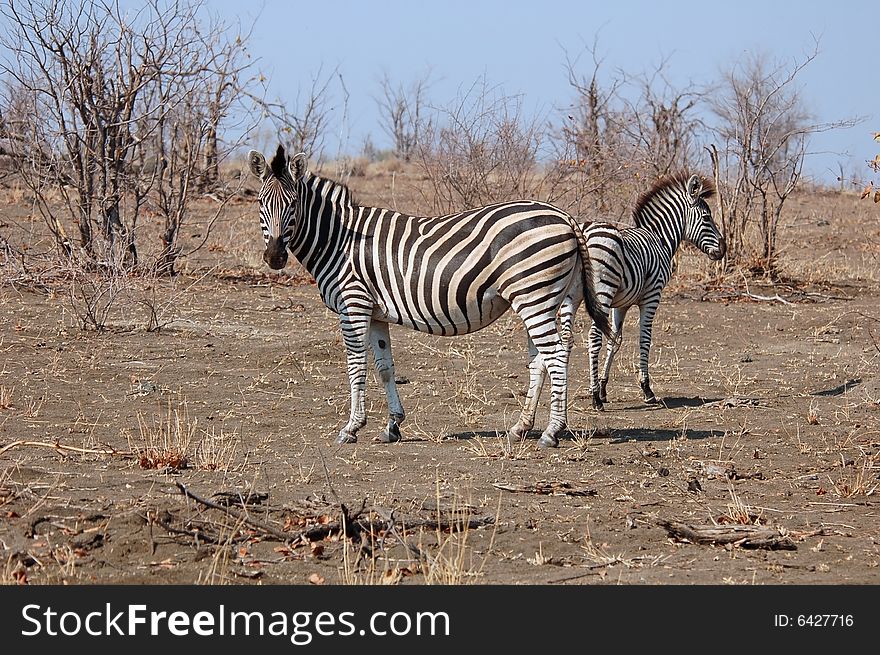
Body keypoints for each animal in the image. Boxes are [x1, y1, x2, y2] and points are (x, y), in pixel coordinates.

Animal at [244, 145, 608, 448]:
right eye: (261, 203)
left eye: (293, 205)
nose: (275, 257)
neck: (338, 239)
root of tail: (566, 217)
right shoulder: (375, 312)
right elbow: (384, 367)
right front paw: (392, 426)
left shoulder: (354, 304)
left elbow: (356, 366)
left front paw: (351, 428)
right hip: (546, 298)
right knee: (542, 359)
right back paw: (521, 427)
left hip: (534, 296)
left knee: (556, 355)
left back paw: (552, 432)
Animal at [552, 172, 724, 412]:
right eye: (707, 218)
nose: (723, 249)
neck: (660, 239)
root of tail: (581, 232)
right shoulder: (652, 296)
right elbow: (645, 338)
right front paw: (646, 389)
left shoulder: (621, 304)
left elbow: (615, 339)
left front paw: (604, 388)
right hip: (602, 292)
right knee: (593, 337)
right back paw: (595, 399)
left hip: (572, 297)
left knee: (567, 338)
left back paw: (564, 393)